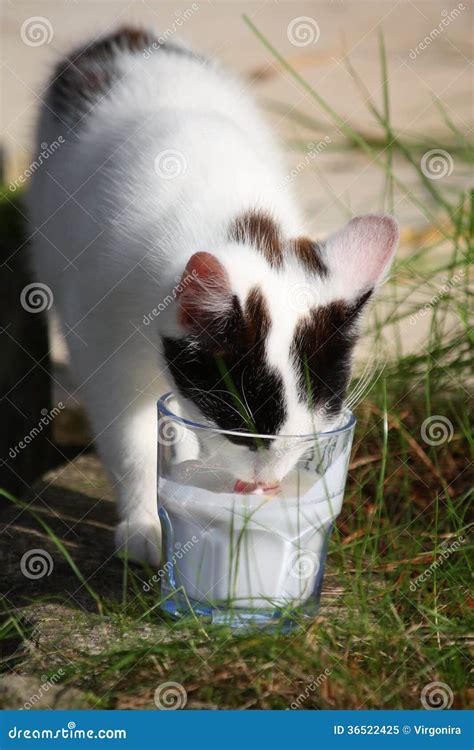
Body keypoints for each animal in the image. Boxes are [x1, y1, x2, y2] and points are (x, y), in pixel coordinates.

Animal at [25, 29, 398, 568]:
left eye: (312, 432)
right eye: (241, 429)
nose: (265, 481)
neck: (231, 211)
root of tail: (121, 34)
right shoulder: (101, 342)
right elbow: (130, 437)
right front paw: (144, 522)